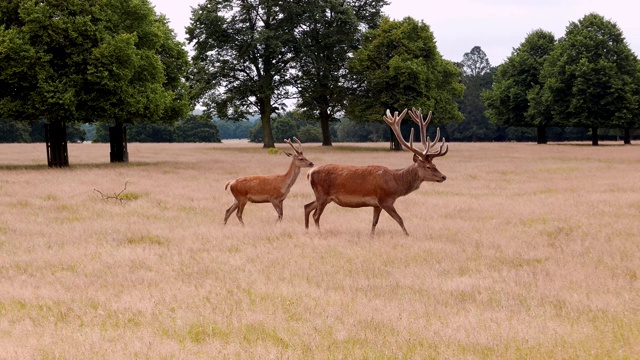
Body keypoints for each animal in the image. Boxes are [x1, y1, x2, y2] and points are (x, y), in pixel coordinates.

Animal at [304, 107, 444, 236]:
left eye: (435, 164)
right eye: (428, 167)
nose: (443, 176)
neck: (396, 184)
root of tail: (309, 173)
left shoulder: (377, 204)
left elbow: (374, 222)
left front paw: (371, 236)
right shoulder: (385, 200)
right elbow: (400, 219)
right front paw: (408, 235)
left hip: (323, 197)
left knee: (307, 206)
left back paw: (306, 231)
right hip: (322, 194)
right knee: (316, 215)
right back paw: (319, 233)